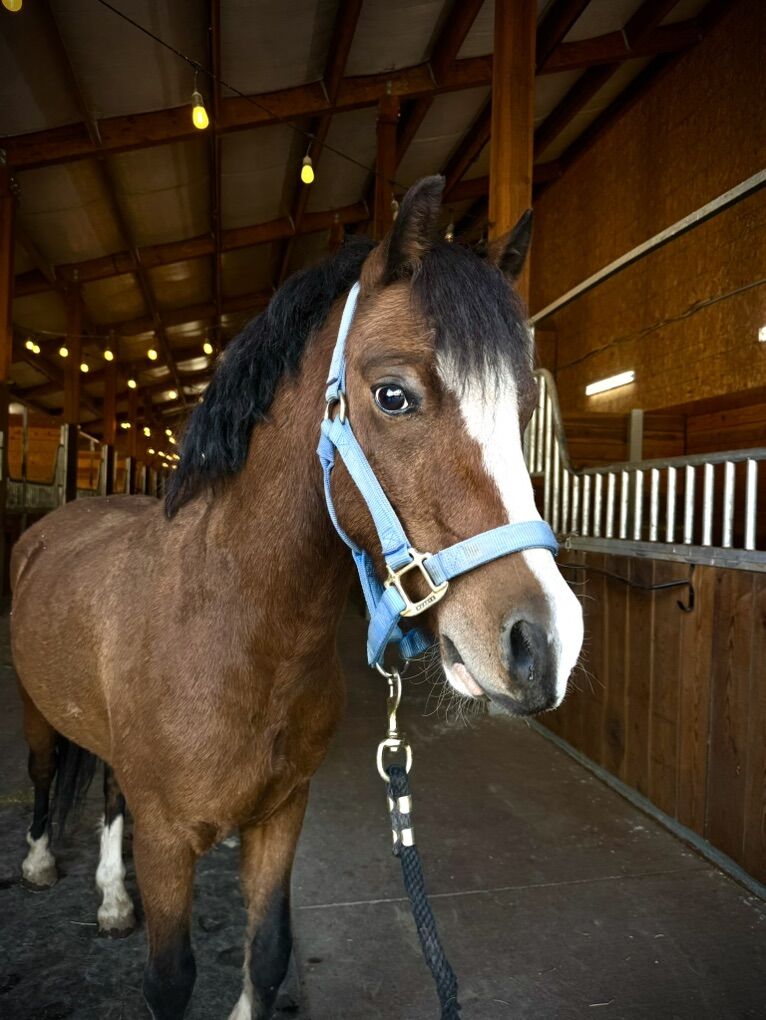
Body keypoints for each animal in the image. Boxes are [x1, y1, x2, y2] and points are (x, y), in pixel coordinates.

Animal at [10, 175, 584, 1019]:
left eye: (521, 412)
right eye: (393, 395)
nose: (544, 645)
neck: (232, 634)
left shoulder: (282, 814)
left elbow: (270, 948)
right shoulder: (167, 838)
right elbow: (170, 978)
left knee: (109, 790)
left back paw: (113, 900)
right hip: (35, 707)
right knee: (48, 774)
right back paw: (42, 862)